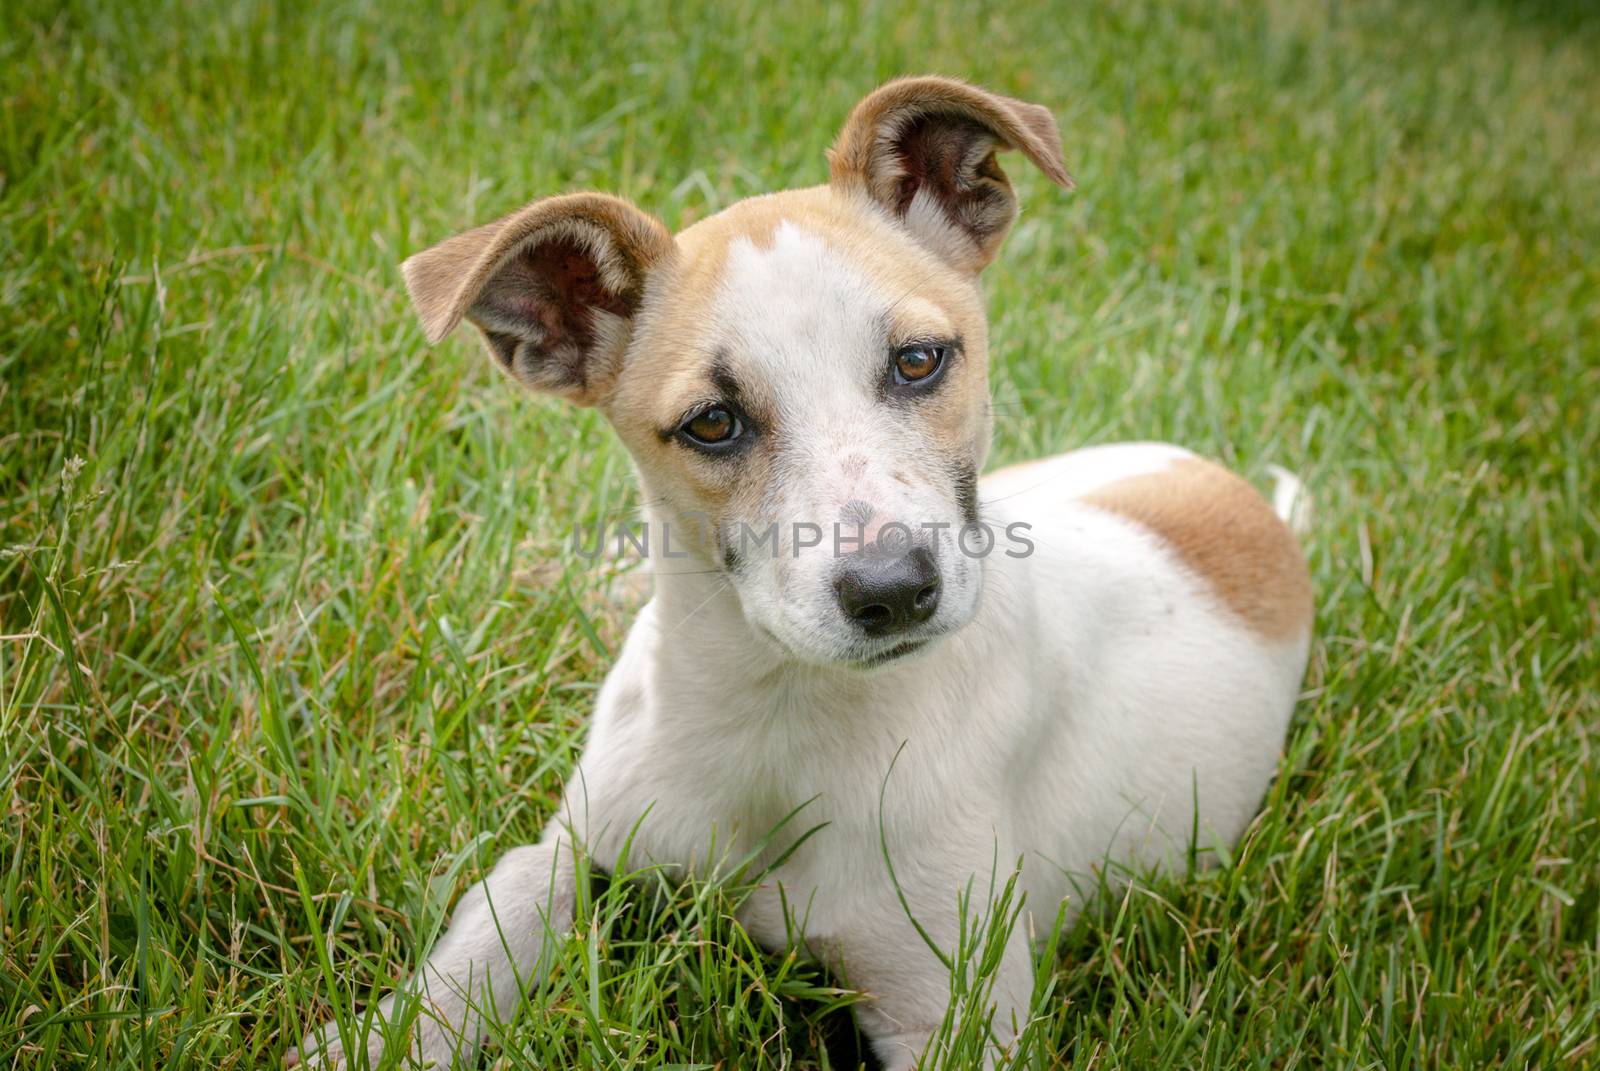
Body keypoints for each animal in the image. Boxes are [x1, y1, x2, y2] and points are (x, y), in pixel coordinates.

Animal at [288, 77, 1312, 1069]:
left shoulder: (957, 1006)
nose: (893, 592)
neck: (784, 713)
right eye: (712, 421)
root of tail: (1244, 500)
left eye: (918, 360)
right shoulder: (570, 847)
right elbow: (480, 942)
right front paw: (369, 1038)